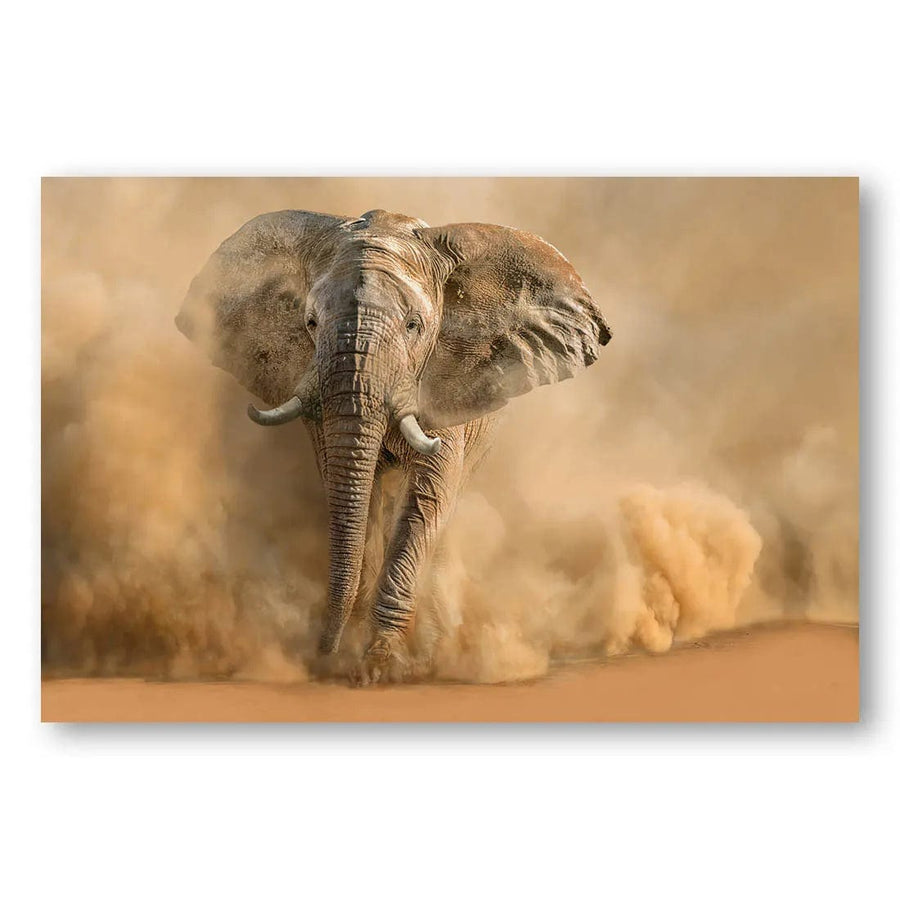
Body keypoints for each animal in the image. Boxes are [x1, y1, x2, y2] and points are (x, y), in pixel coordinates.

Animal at [176, 208, 612, 684]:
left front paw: (377, 667)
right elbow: (355, 495)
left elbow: (425, 501)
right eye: (310, 323)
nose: (320, 654)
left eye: (413, 326)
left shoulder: (441, 383)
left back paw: (433, 654)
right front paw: (352, 657)